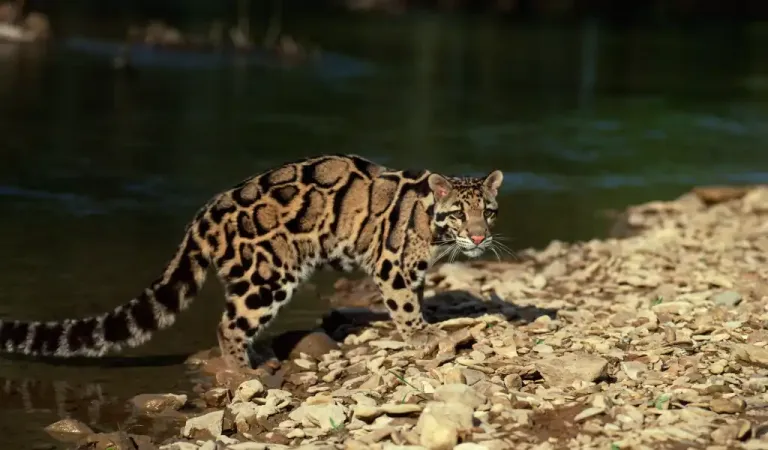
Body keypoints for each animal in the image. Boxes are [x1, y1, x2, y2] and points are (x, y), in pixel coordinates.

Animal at [0, 154, 504, 370]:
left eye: (489, 211)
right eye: (459, 213)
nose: (480, 236)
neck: (433, 228)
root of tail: (203, 214)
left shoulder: (411, 270)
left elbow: (415, 296)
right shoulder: (390, 263)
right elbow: (404, 304)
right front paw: (420, 333)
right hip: (266, 276)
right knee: (227, 324)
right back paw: (246, 371)